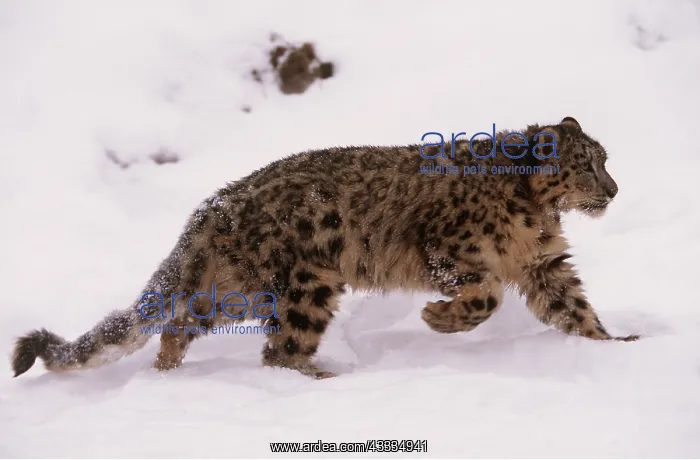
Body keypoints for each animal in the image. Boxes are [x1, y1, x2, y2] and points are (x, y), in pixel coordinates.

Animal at [11, 116, 639, 380]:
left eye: (606, 159)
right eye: (587, 164)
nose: (613, 190)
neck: (534, 215)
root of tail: (215, 204)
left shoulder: (544, 263)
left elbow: (573, 308)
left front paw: (617, 346)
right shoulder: (449, 248)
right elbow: (484, 296)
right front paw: (437, 319)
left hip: (234, 288)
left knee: (181, 322)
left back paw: (165, 374)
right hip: (307, 282)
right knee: (279, 349)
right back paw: (323, 378)